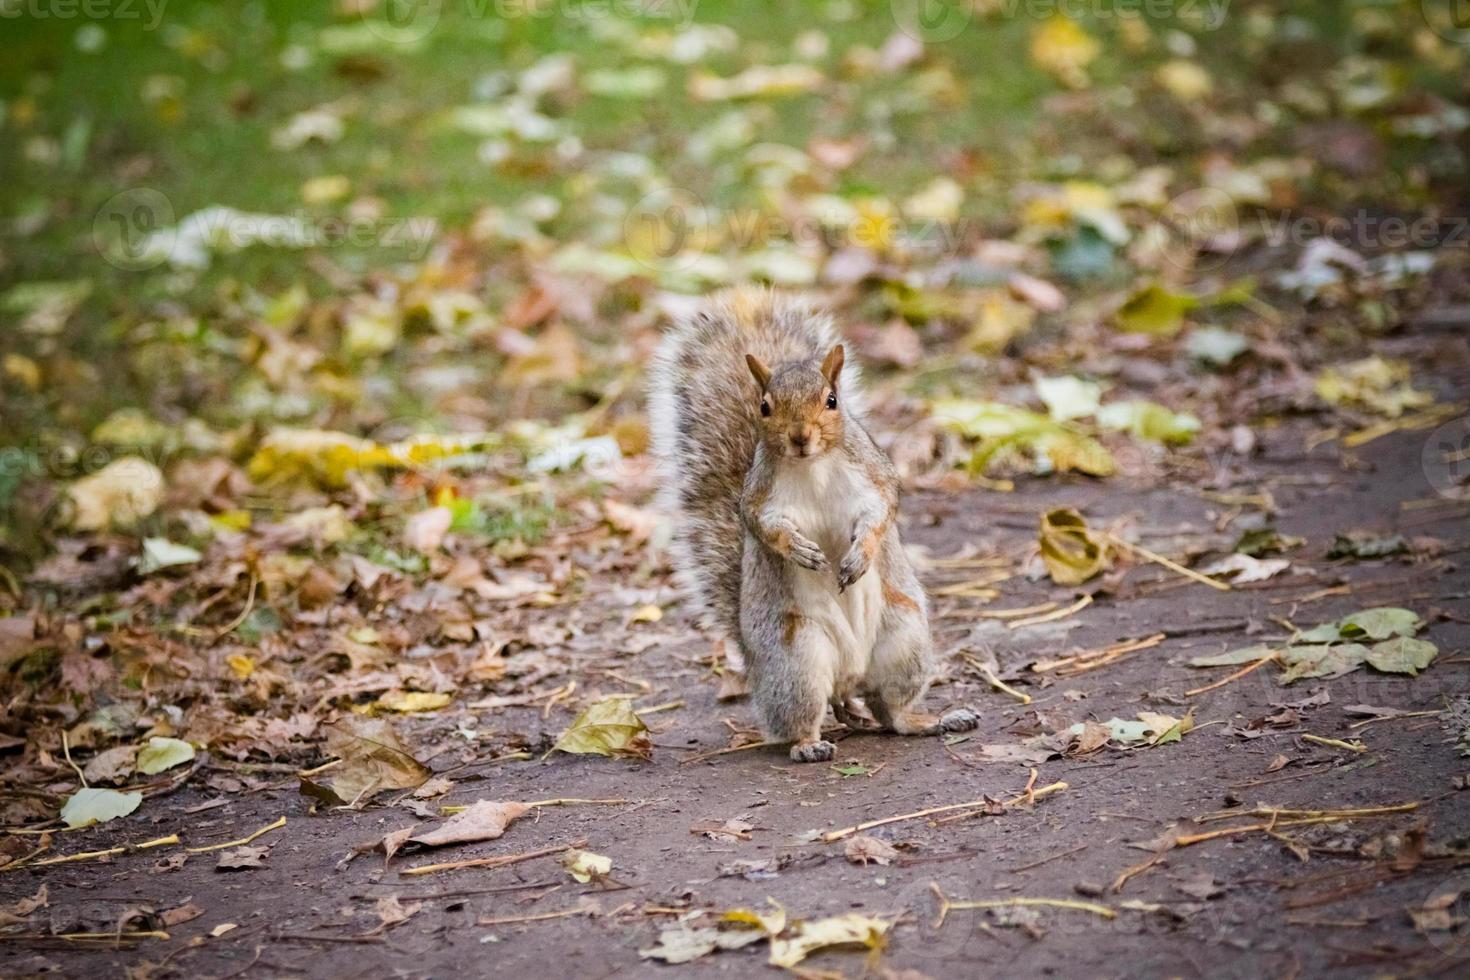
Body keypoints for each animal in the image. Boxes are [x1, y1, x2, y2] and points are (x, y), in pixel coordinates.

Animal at [652, 287, 976, 764]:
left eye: (831, 400)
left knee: (892, 712)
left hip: (905, 639)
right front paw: (798, 550)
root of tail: (848, 679)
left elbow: (881, 513)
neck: (814, 465)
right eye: (764, 407)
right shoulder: (760, 500)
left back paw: (933, 720)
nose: (800, 436)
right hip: (797, 662)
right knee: (802, 719)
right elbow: (765, 527)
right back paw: (809, 745)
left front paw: (859, 556)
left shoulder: (875, 478)